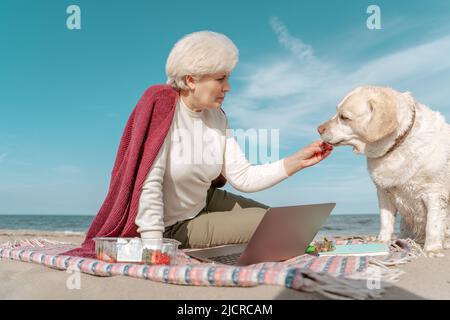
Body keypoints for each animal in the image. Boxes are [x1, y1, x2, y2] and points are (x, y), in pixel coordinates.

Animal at [318, 85, 450, 255]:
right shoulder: (384, 193)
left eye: (344, 117)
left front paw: (431, 249)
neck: (398, 144)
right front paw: (382, 241)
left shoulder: (434, 193)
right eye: (336, 112)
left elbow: (433, 225)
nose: (318, 129)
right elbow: (385, 221)